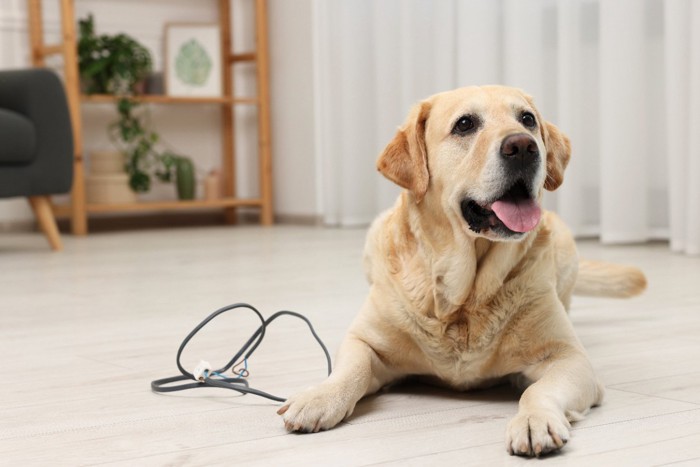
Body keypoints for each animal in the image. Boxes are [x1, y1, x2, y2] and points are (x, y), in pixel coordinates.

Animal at [278, 87, 644, 458]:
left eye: (527, 119)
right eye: (465, 124)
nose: (523, 146)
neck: (463, 296)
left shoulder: (569, 357)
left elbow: (537, 390)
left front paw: (534, 420)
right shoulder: (365, 340)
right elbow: (350, 370)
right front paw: (319, 397)